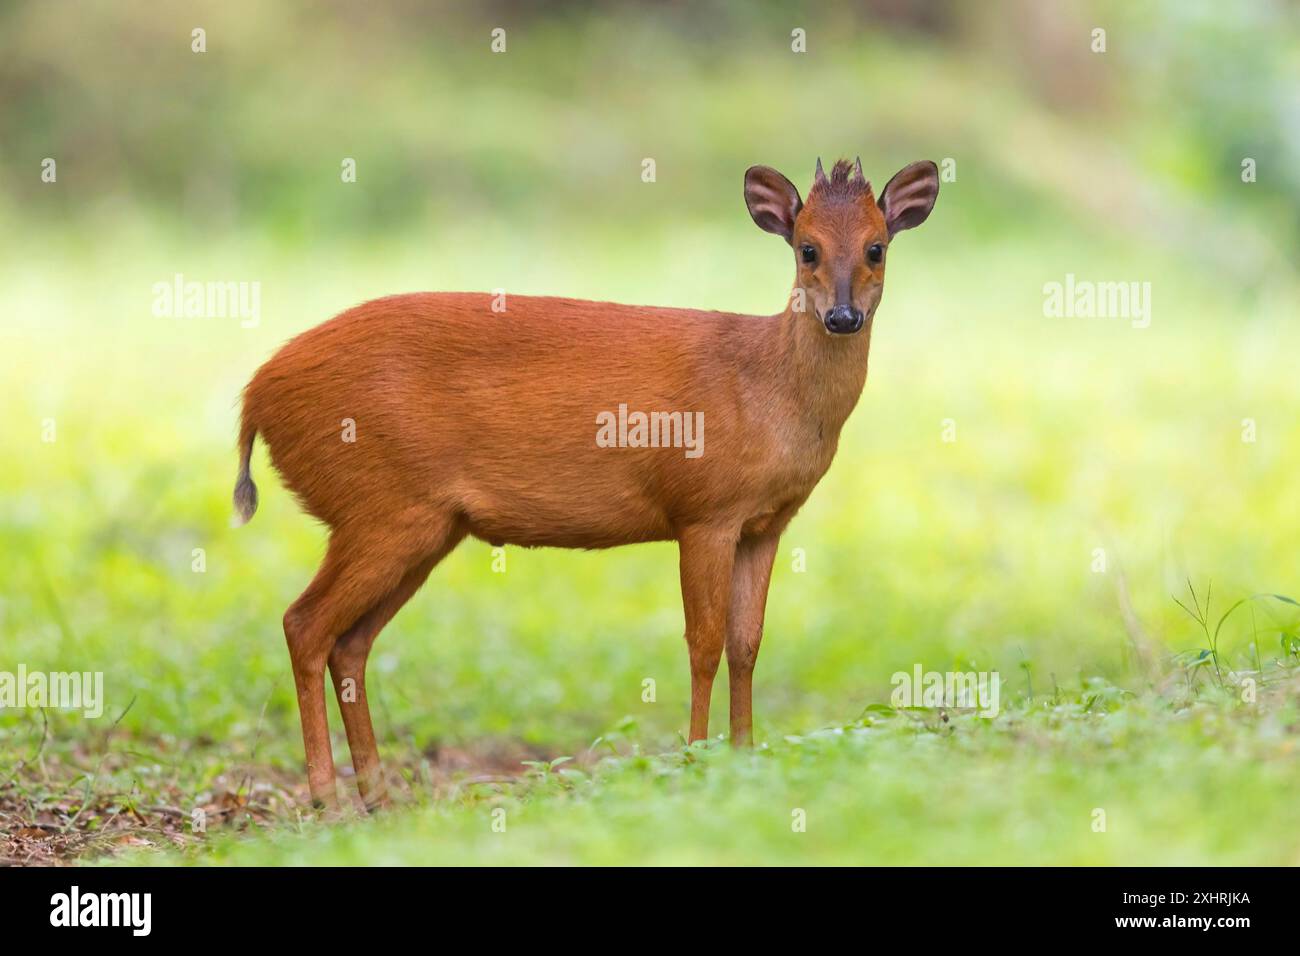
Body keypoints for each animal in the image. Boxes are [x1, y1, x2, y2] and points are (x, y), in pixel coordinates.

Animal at [236, 158, 935, 806]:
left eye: (876, 247)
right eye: (806, 247)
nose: (841, 316)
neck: (767, 388)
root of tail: (255, 396)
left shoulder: (766, 523)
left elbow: (747, 643)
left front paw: (744, 755)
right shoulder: (703, 509)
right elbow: (703, 642)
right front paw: (695, 759)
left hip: (421, 525)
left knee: (349, 642)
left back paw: (378, 796)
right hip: (377, 504)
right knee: (304, 624)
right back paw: (328, 799)